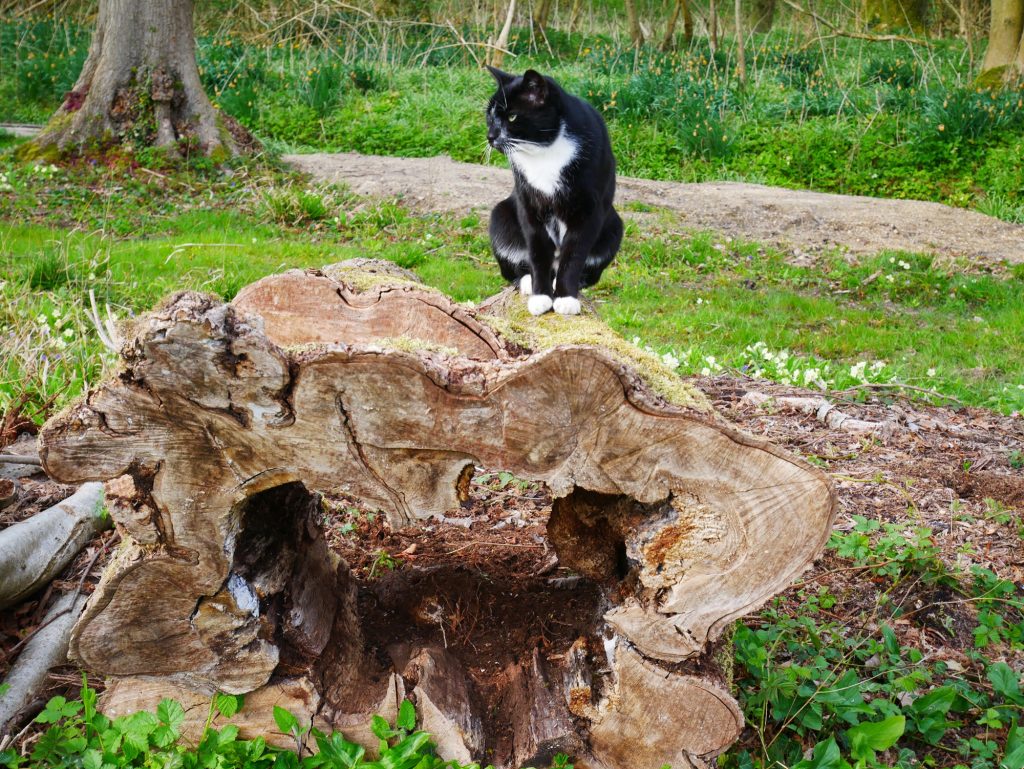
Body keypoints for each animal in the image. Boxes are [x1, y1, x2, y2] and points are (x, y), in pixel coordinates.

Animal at [487, 67, 622, 315]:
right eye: (489, 117)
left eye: (512, 117)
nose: (490, 137)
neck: (545, 152)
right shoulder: (529, 203)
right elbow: (537, 250)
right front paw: (540, 296)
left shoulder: (590, 209)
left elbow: (575, 253)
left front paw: (566, 298)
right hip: (500, 215)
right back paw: (528, 281)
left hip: (614, 226)